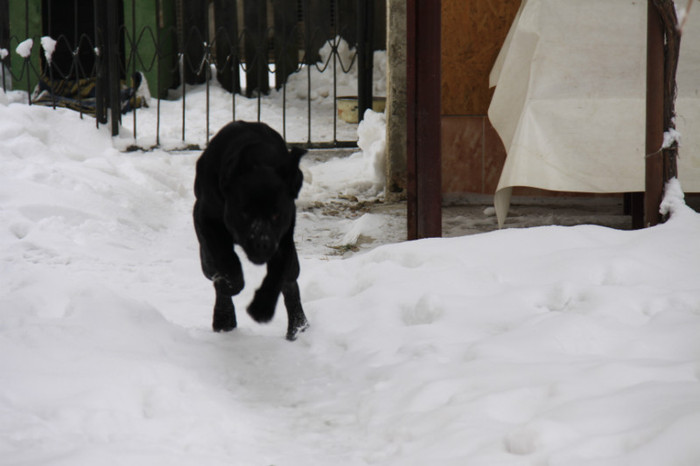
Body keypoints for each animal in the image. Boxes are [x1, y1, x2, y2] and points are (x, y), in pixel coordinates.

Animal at [193, 121, 310, 338]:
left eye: (276, 214)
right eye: (245, 213)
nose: (262, 242)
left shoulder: (283, 237)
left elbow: (277, 273)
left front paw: (261, 308)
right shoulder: (206, 218)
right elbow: (225, 257)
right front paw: (232, 284)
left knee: (290, 281)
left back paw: (298, 326)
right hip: (206, 261)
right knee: (213, 270)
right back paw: (224, 318)